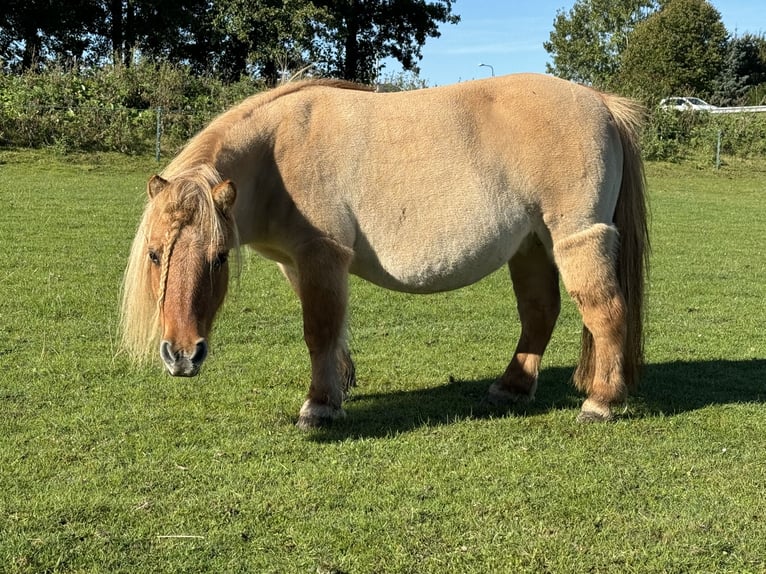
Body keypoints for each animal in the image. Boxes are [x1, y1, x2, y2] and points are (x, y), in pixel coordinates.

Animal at [120, 74, 648, 430]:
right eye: (154, 255)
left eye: (219, 258)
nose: (182, 355)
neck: (278, 155)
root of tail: (600, 102)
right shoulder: (299, 265)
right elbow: (331, 330)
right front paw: (339, 384)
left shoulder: (322, 256)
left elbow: (319, 329)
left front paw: (319, 406)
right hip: (533, 245)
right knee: (540, 314)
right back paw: (510, 388)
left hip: (576, 239)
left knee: (606, 313)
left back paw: (600, 402)